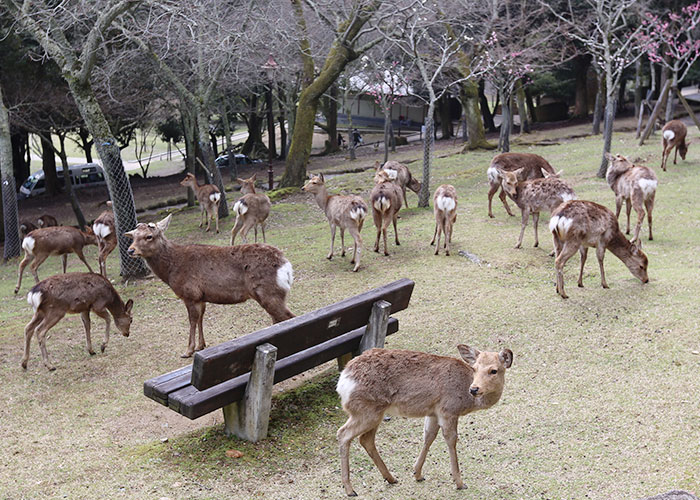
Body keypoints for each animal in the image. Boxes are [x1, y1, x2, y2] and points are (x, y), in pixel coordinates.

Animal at [124, 213, 294, 358]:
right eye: (133, 236)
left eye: (149, 236)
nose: (130, 250)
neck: (171, 270)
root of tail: (286, 266)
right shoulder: (201, 297)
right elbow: (201, 318)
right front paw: (201, 345)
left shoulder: (190, 294)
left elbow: (192, 320)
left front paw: (188, 350)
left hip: (269, 293)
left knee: (288, 317)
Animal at [340, 344, 516, 496]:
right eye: (474, 368)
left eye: (494, 370)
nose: (474, 389)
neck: (466, 401)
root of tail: (343, 380)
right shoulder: (448, 410)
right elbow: (451, 440)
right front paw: (460, 483)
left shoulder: (433, 413)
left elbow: (429, 436)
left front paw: (417, 474)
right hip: (366, 411)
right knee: (344, 433)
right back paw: (350, 489)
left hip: (375, 412)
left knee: (366, 439)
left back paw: (391, 478)